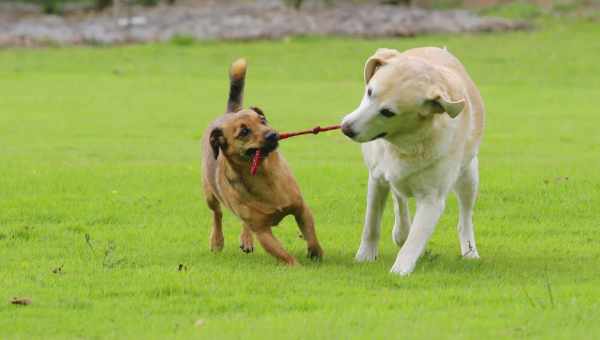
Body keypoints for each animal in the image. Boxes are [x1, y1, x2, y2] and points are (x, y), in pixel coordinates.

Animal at [202, 59, 324, 266]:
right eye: (244, 132)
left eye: (263, 119)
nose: (272, 134)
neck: (263, 175)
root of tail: (229, 112)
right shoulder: (262, 231)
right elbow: (283, 255)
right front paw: (297, 266)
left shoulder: (301, 209)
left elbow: (312, 236)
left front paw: (316, 254)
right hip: (210, 194)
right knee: (217, 214)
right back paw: (217, 240)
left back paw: (245, 239)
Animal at [340, 47, 486, 276]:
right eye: (370, 92)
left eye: (388, 112)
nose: (346, 129)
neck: (405, 144)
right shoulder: (377, 179)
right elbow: (371, 224)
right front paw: (365, 256)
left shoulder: (432, 200)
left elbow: (415, 241)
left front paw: (400, 270)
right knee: (399, 198)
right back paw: (401, 231)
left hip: (469, 176)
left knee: (465, 217)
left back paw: (469, 250)